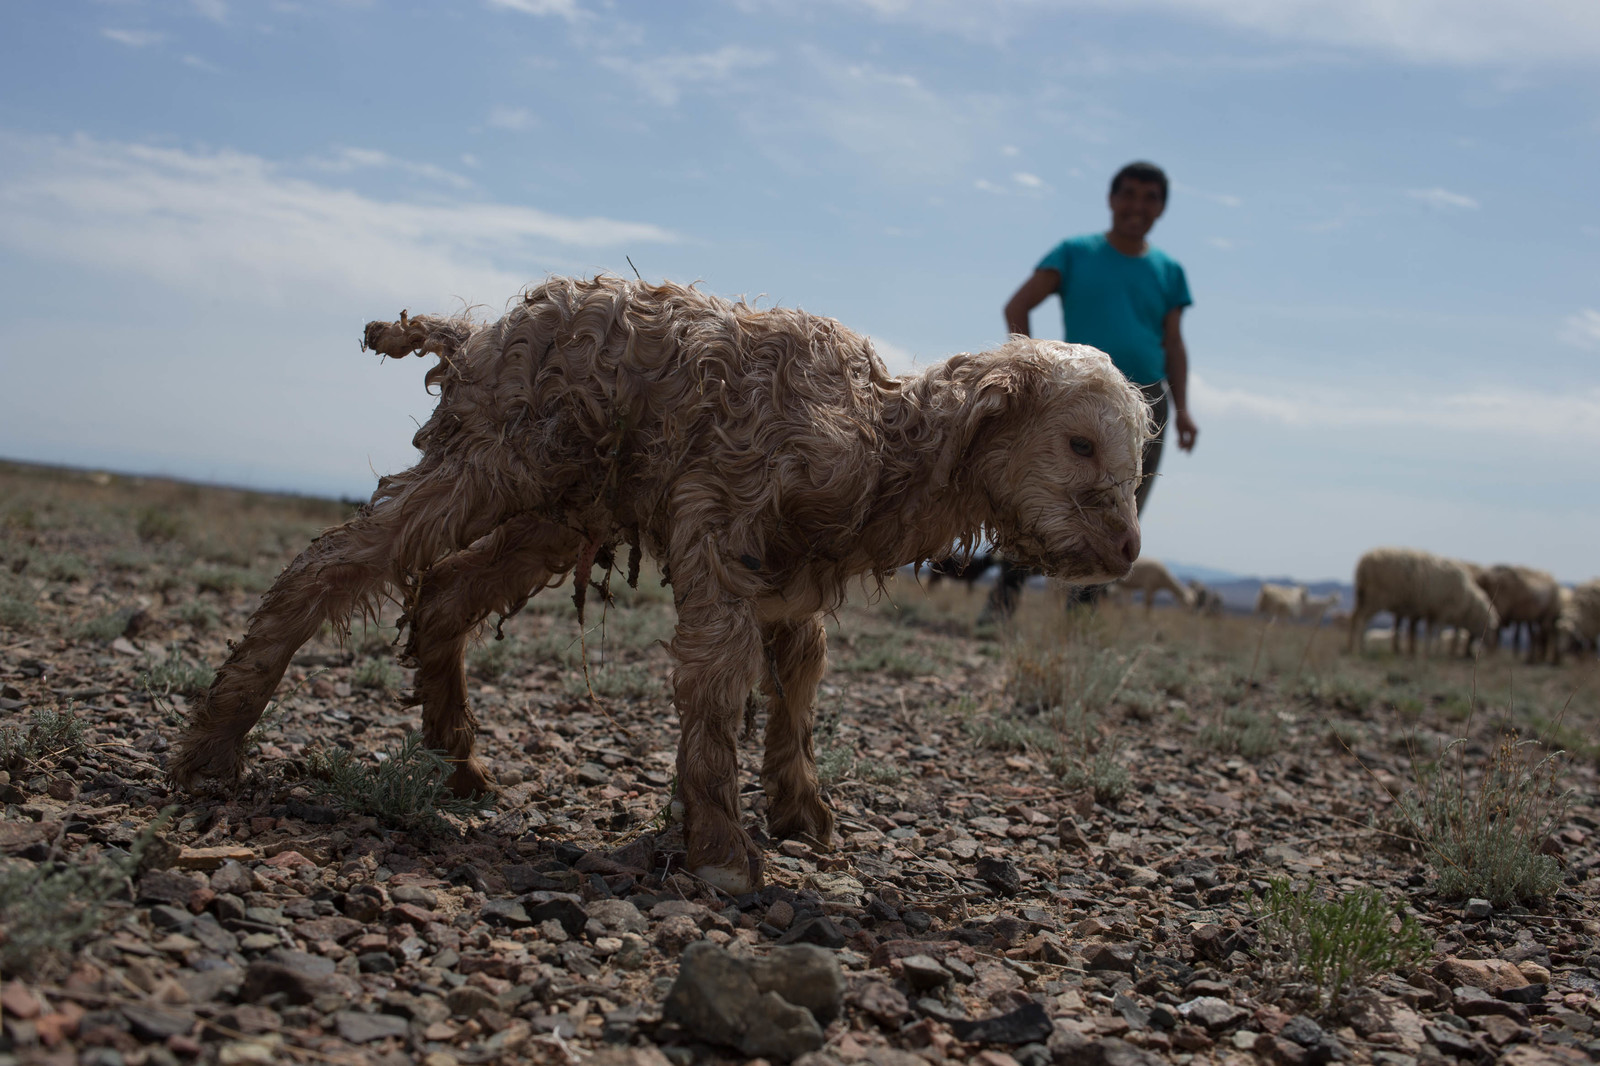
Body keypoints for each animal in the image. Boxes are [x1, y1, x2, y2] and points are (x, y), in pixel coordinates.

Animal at [172, 272, 1152, 889]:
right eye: (1079, 444)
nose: (1128, 549)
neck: (877, 438)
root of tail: (472, 334)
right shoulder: (719, 512)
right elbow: (717, 676)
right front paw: (720, 846)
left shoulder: (793, 575)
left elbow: (799, 683)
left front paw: (800, 809)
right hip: (492, 457)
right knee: (335, 563)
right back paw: (215, 747)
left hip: (562, 506)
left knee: (444, 592)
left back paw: (458, 758)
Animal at [1350, 547, 1497, 656]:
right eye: (1491, 628)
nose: (1490, 649)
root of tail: (1363, 563)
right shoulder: (1443, 611)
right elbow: (1438, 631)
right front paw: (1436, 651)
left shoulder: (1431, 612)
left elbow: (1429, 631)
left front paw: (1427, 651)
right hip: (1375, 597)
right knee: (1361, 619)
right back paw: (1360, 649)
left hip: (1362, 596)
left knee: (1355, 617)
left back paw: (1353, 646)